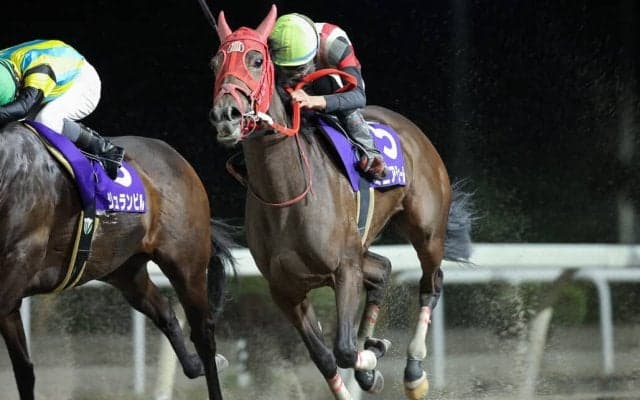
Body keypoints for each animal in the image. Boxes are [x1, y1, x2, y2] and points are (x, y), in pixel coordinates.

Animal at [0, 120, 234, 400]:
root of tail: (176, 158)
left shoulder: (17, 267)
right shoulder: (11, 297)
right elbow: (24, 370)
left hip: (187, 262)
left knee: (204, 334)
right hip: (125, 270)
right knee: (164, 312)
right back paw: (193, 364)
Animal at [208, 5, 473, 400]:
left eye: (256, 60)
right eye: (215, 63)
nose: (226, 115)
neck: (286, 195)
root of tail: (411, 129)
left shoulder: (344, 269)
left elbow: (345, 350)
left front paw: (372, 359)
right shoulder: (285, 289)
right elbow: (325, 358)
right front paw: (368, 361)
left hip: (426, 232)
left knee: (432, 283)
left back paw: (413, 371)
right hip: (361, 250)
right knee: (383, 269)